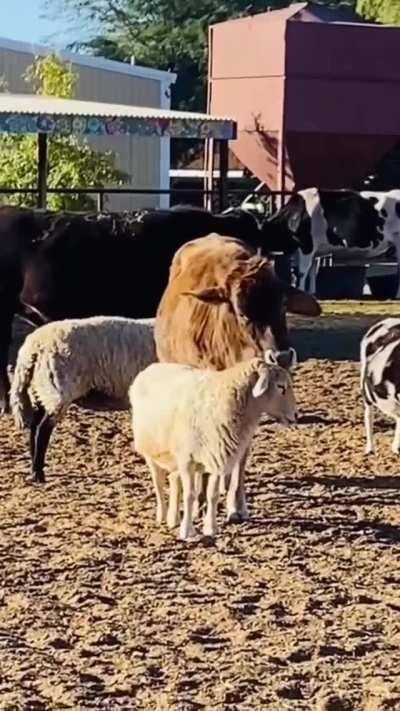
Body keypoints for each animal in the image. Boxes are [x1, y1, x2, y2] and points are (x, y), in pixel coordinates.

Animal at [10, 316, 156, 483]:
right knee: (42, 429)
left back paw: (33, 469)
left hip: (41, 390)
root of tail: (32, 347)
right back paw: (38, 474)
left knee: (34, 426)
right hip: (58, 390)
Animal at [129, 350, 297, 540]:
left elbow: (213, 495)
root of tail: (150, 368)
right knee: (158, 483)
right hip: (151, 452)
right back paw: (163, 515)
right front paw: (187, 531)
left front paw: (211, 528)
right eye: (281, 386)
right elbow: (189, 495)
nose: (295, 415)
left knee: (173, 479)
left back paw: (173, 518)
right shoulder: (187, 460)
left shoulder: (218, 456)